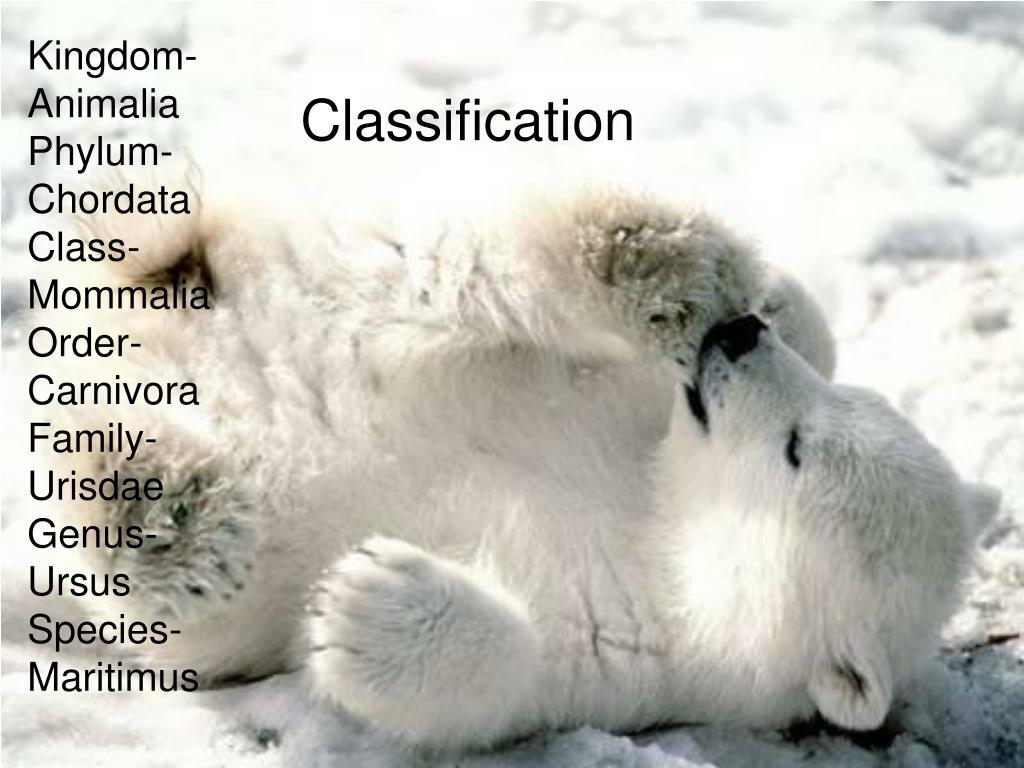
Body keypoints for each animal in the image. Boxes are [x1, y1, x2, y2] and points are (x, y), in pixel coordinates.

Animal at [41, 177, 997, 752]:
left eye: (798, 449)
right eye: (834, 410)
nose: (734, 337)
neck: (660, 514)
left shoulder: (646, 656)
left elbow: (507, 676)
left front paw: (363, 601)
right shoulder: (632, 404)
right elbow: (803, 329)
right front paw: (760, 301)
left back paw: (158, 507)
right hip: (349, 279)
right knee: (457, 268)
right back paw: (656, 260)